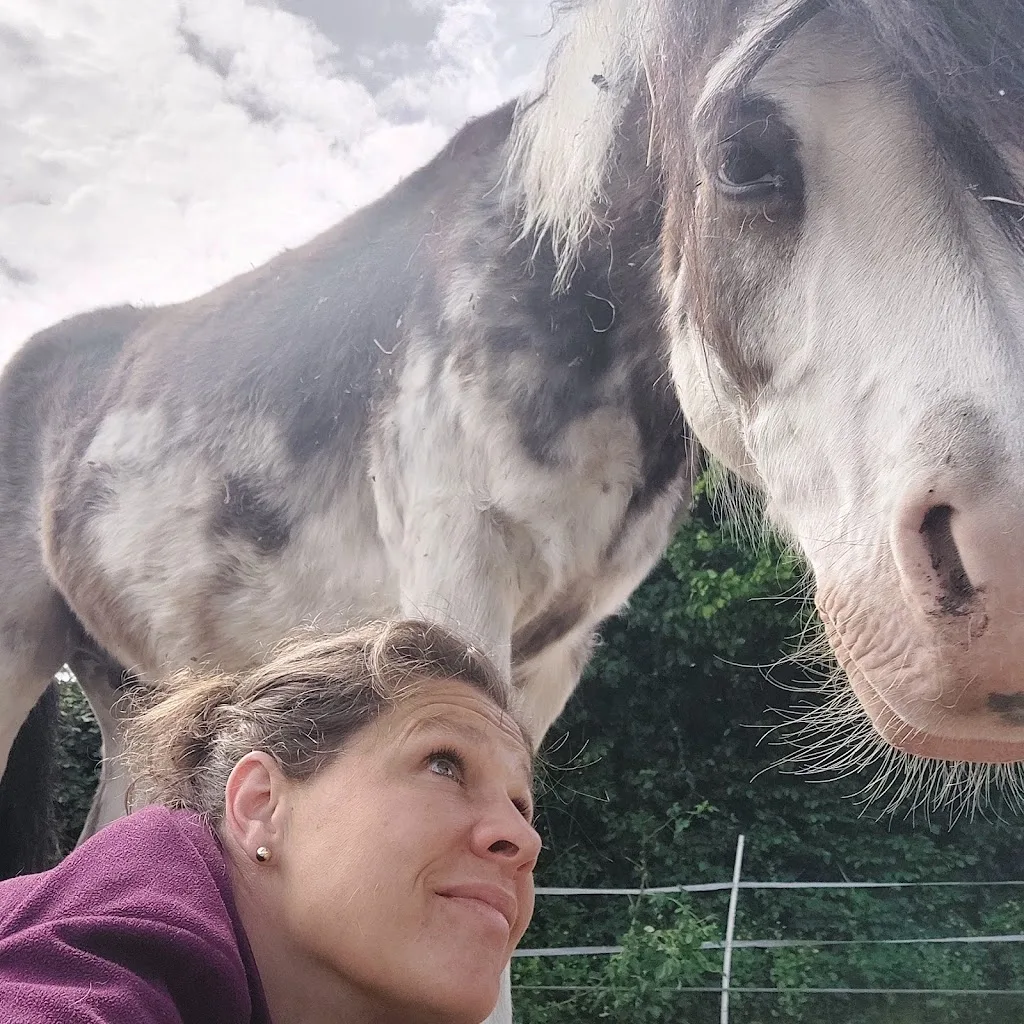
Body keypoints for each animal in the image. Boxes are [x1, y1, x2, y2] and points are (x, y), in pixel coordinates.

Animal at [2, 0, 1023, 1018]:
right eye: (739, 157)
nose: (1005, 591)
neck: (556, 298)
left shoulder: (547, 661)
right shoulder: (455, 584)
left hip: (127, 696)